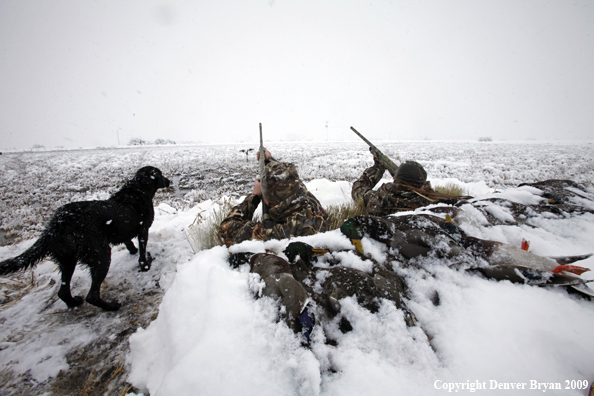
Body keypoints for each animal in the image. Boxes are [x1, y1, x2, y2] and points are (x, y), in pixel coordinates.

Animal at [0, 166, 171, 310]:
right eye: (161, 174)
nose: (169, 181)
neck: (138, 191)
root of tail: (54, 226)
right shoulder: (143, 229)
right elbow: (142, 250)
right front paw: (145, 264)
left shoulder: (120, 230)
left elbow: (128, 242)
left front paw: (133, 251)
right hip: (101, 255)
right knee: (92, 295)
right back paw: (111, 306)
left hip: (67, 259)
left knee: (63, 291)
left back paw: (74, 303)